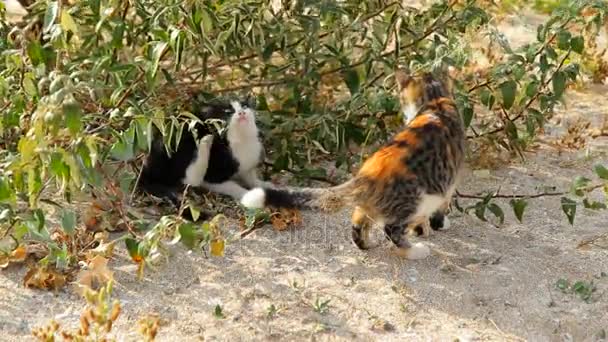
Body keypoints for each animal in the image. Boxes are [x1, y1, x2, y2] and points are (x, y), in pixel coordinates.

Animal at [139, 97, 270, 218]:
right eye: (228, 112)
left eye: (244, 106)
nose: (241, 113)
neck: (242, 140)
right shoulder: (212, 177)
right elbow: (233, 186)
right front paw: (248, 194)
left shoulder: (246, 167)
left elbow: (251, 179)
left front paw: (264, 185)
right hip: (179, 143)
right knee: (190, 178)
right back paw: (206, 140)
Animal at [240, 71, 464, 260]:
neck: (435, 101)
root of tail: (367, 176)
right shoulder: (449, 183)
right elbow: (440, 209)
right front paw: (437, 225)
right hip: (419, 198)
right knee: (391, 228)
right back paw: (414, 251)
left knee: (358, 219)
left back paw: (365, 244)